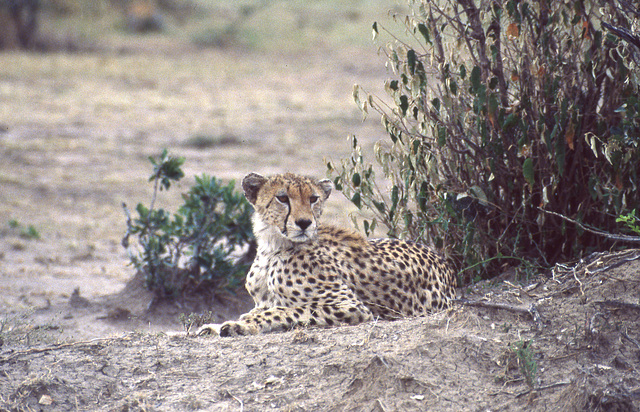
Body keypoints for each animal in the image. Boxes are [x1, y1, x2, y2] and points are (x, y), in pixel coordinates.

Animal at [199, 172, 456, 336]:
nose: (304, 222)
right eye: (282, 198)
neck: (273, 247)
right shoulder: (261, 301)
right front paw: (216, 326)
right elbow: (261, 309)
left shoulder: (350, 305)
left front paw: (242, 325)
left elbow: (284, 310)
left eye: (313, 199)